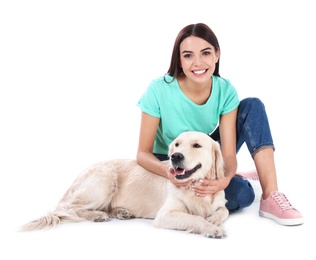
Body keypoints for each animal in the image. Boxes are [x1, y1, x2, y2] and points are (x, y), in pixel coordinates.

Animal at [19, 131, 228, 239]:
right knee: (71, 208)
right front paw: (212, 228)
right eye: (176, 144)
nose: (175, 157)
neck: (193, 187)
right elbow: (196, 218)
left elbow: (222, 211)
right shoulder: (165, 215)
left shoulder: (220, 201)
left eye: (197, 145)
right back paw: (97, 215)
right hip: (105, 180)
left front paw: (214, 220)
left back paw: (121, 212)